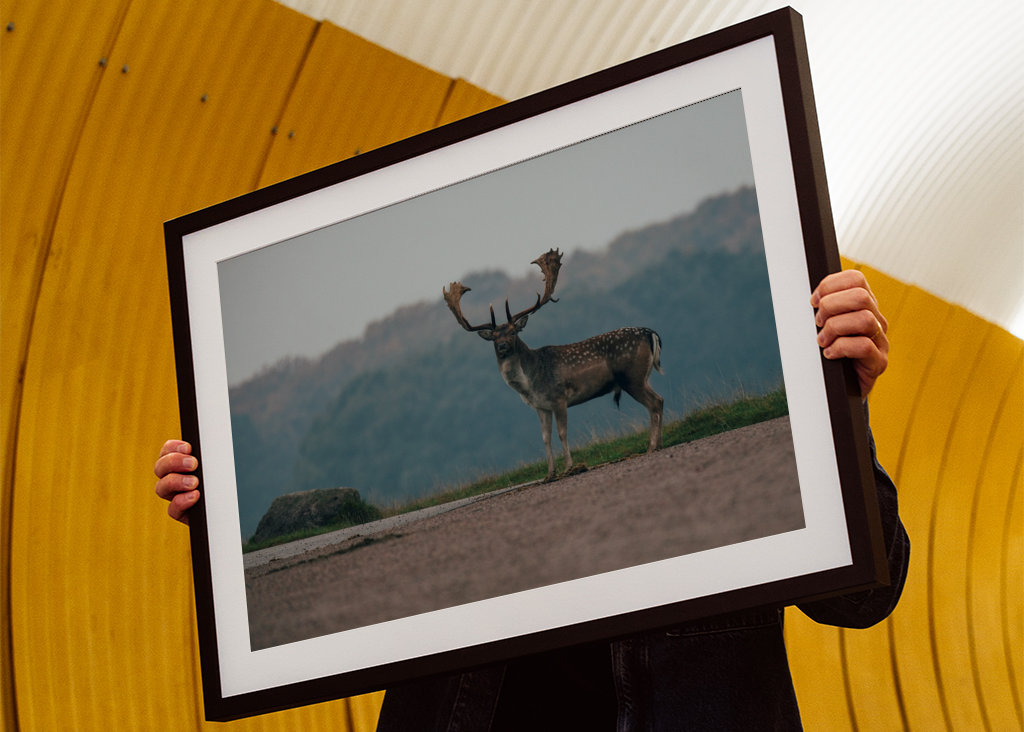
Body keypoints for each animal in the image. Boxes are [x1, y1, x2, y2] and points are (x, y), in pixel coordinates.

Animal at [443, 248, 664, 481]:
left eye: (513, 332)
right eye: (494, 337)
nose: (502, 346)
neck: (530, 384)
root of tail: (651, 333)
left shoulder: (559, 397)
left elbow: (562, 433)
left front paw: (569, 467)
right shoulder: (541, 406)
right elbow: (545, 438)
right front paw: (550, 473)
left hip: (632, 377)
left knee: (654, 402)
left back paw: (652, 446)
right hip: (641, 376)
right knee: (659, 400)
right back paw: (658, 443)